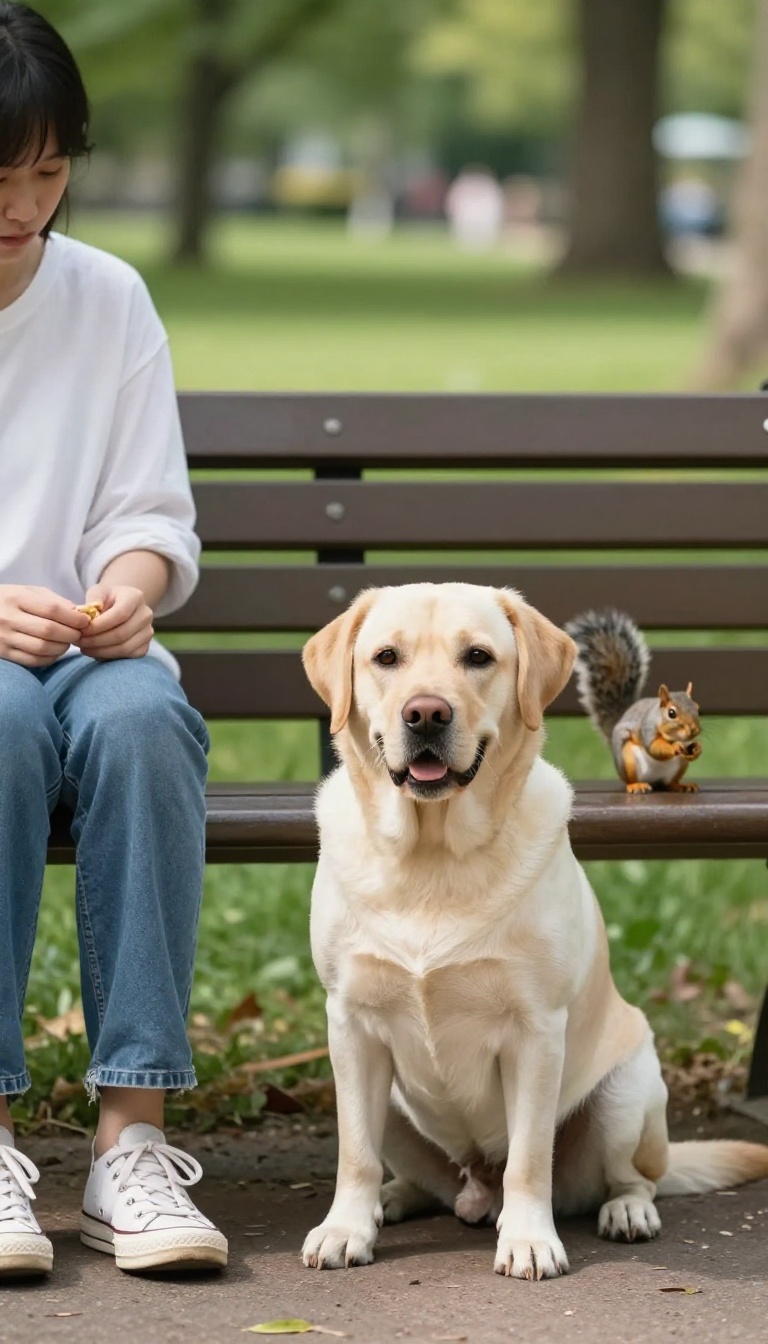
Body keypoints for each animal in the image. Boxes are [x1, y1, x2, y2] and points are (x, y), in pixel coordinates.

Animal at [563, 608, 702, 795]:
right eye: (671, 713)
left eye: (697, 708)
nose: (694, 730)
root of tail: (654, 781)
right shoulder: (647, 728)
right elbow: (654, 748)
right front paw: (674, 747)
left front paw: (697, 748)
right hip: (627, 758)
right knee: (630, 779)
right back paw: (636, 785)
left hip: (680, 765)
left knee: (670, 784)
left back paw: (681, 785)